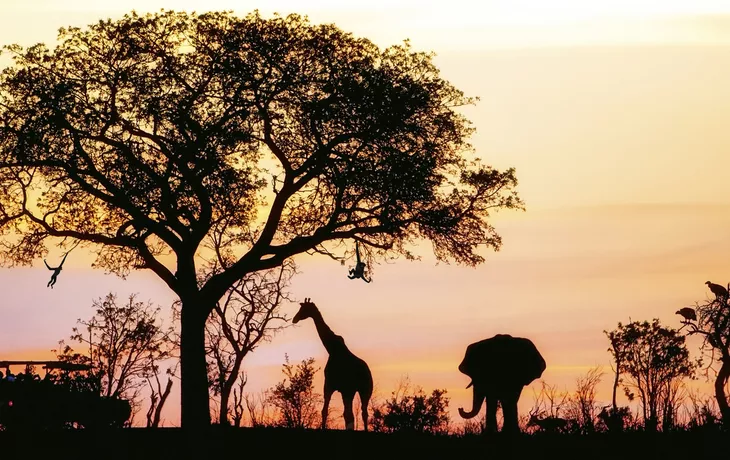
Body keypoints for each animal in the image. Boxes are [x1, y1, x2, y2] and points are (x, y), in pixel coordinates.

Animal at [290, 298, 372, 432]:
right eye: (300, 308)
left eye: (304, 309)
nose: (294, 319)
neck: (332, 348)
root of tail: (367, 372)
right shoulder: (335, 387)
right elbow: (328, 412)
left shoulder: (335, 386)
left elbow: (332, 412)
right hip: (358, 391)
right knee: (357, 414)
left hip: (358, 391)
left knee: (356, 414)